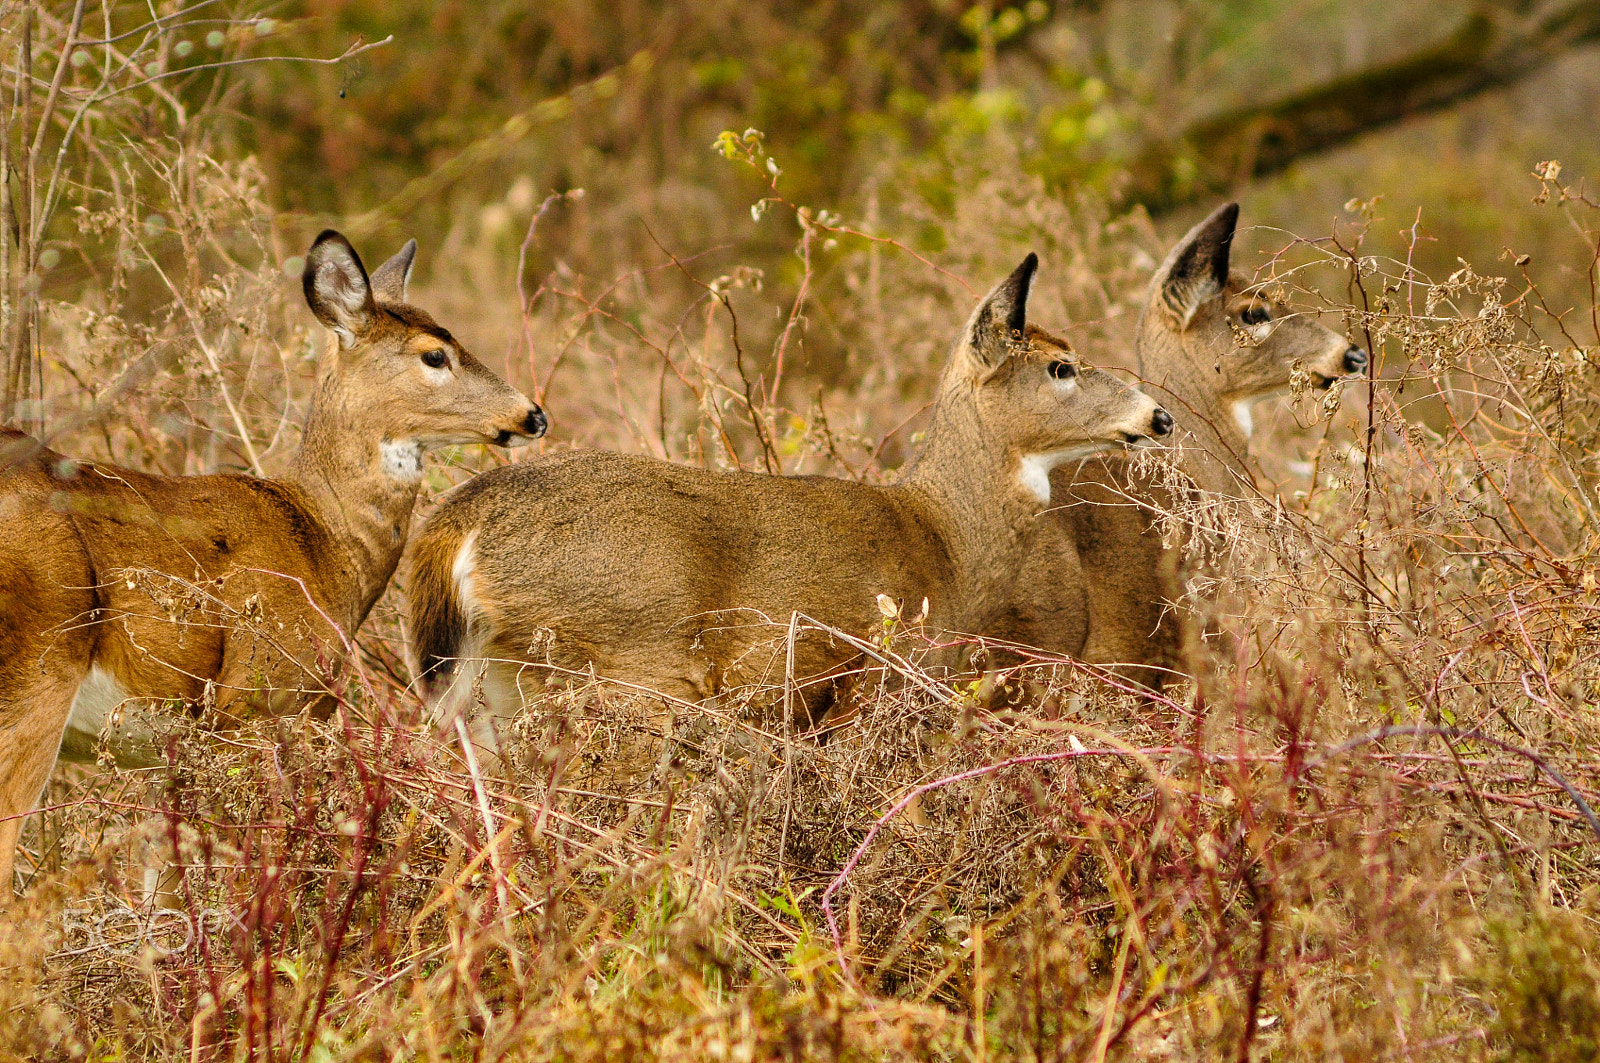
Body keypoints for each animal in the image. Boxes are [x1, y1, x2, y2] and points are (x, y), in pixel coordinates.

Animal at [0, 230, 547, 896]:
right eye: (434, 355)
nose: (531, 414)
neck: (320, 543)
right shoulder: (249, 703)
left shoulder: (169, 752)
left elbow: (160, 883)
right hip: (37, 672)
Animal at [406, 252, 1171, 742]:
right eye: (1061, 367)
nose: (1159, 415)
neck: (942, 542)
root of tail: (454, 526)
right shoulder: (872, 678)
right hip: (622, 658)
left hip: (492, 680)